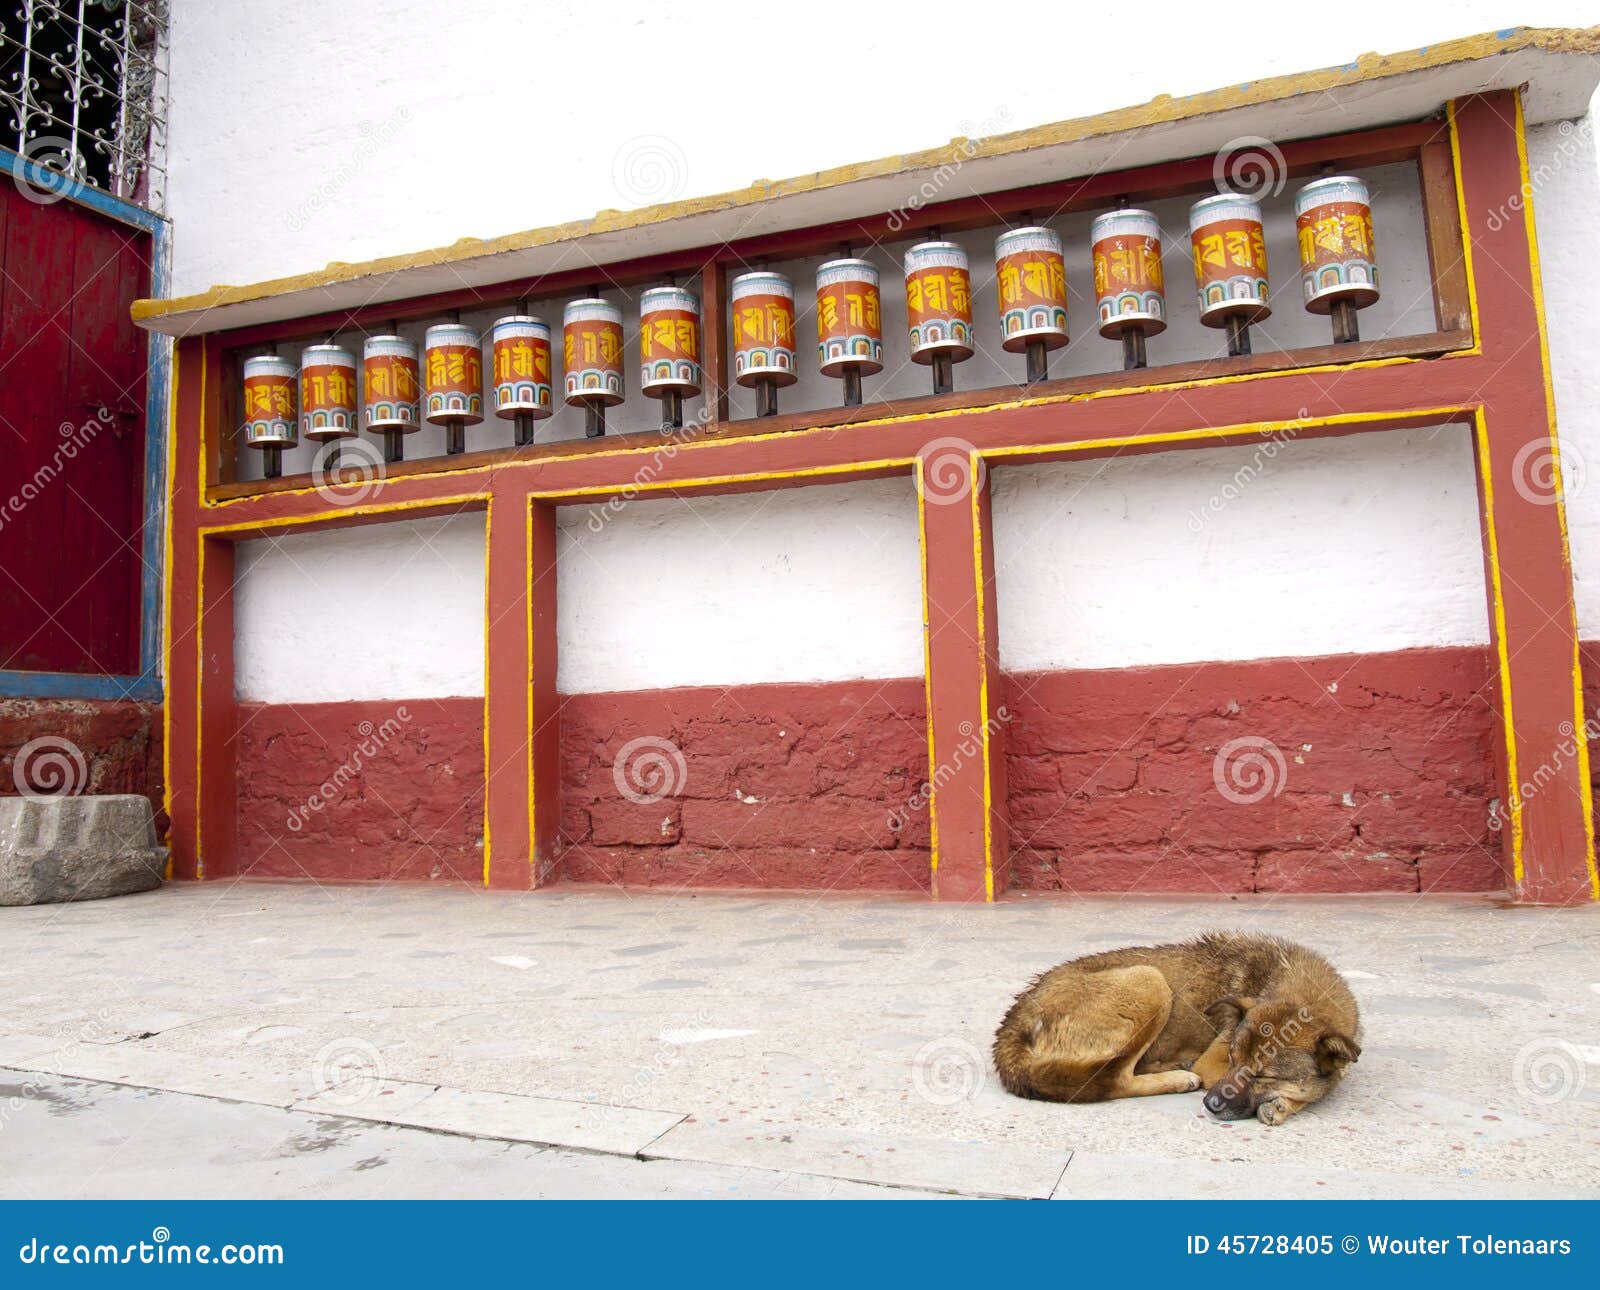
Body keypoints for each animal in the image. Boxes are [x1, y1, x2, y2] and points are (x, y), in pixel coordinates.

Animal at [992, 934, 1356, 1126]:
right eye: (1232, 1059)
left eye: (1264, 1075)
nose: (1210, 1104)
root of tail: (1017, 1015)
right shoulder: (1213, 1064)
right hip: (1150, 979)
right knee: (1114, 1080)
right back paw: (1178, 1079)